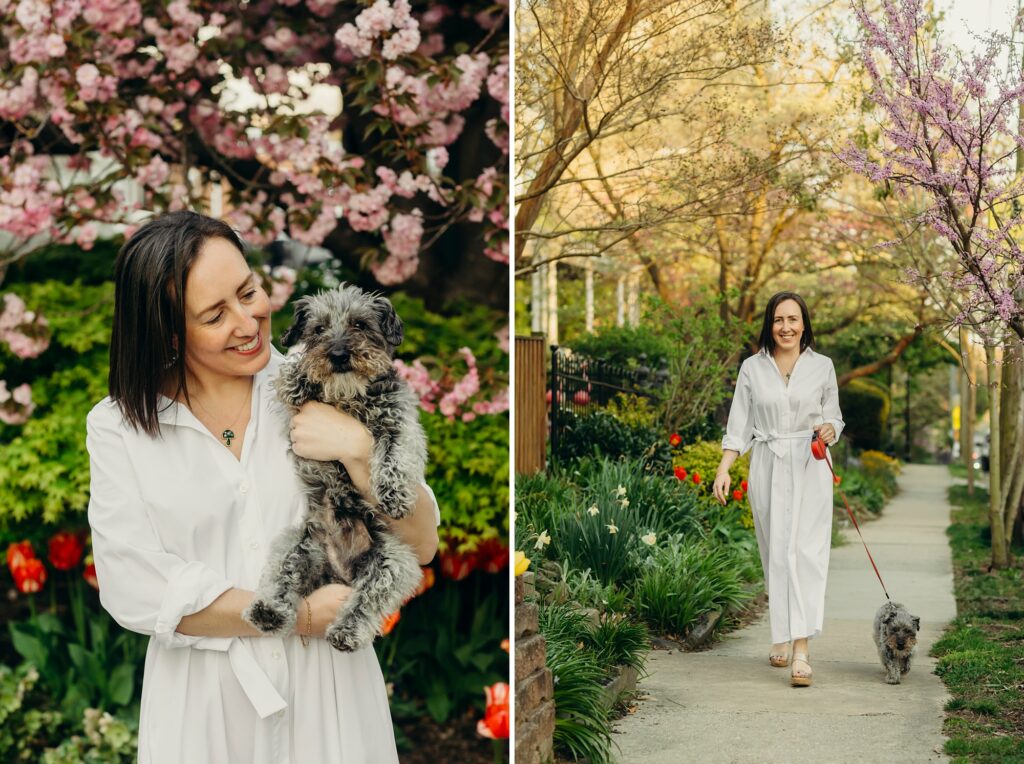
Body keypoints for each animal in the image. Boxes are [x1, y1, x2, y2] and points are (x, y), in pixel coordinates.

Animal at [241, 282, 425, 651]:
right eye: (318, 329)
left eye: (360, 325)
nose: (338, 355)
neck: (348, 397)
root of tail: (337, 571)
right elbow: (290, 377)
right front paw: (300, 375)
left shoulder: (401, 422)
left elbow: (395, 453)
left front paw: (394, 494)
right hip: (296, 547)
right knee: (282, 581)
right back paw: (267, 611)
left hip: (393, 563)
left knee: (366, 601)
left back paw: (346, 631)